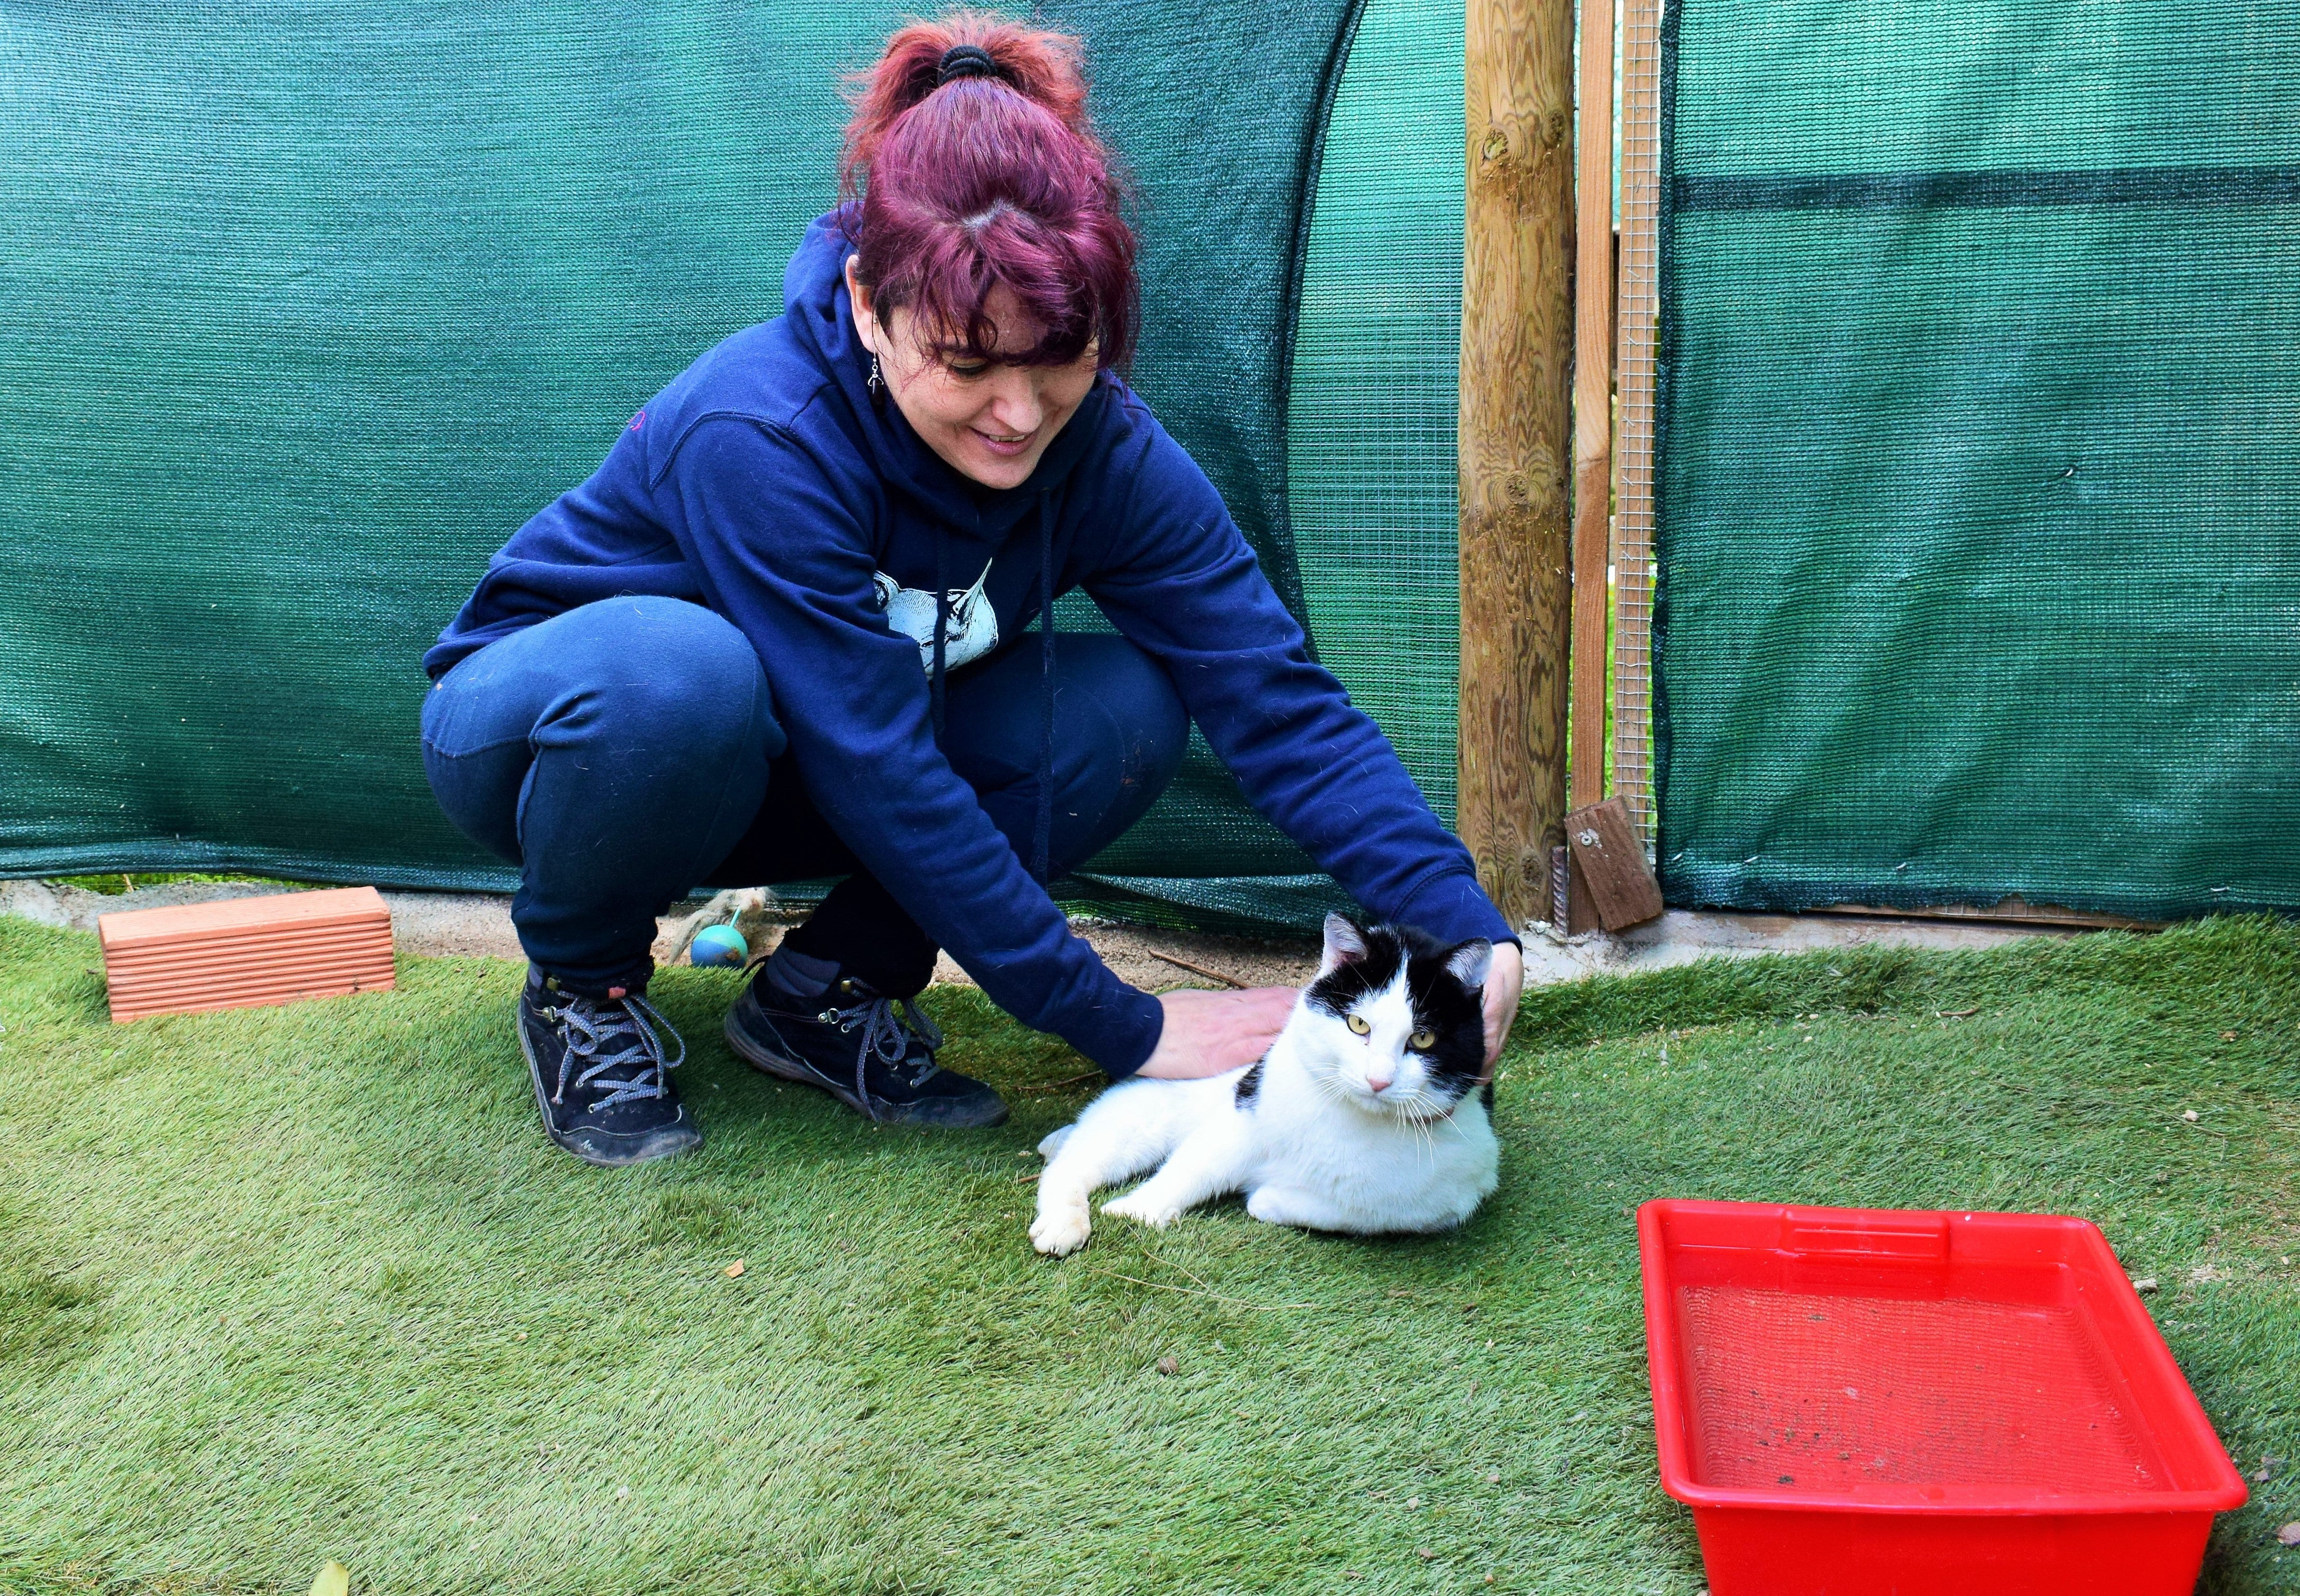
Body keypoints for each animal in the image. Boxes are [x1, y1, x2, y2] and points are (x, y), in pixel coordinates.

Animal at [1030, 920, 1499, 1260]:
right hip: (1143, 1116)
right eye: (1358, 1024)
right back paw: (1063, 1222)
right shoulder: (1240, 1116)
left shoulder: (1445, 1199)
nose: (1378, 1080)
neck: (1357, 1120)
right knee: (1073, 1164)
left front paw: (1265, 1197)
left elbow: (1355, 1213)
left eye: (1422, 1039)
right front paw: (1138, 1209)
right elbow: (1191, 1170)